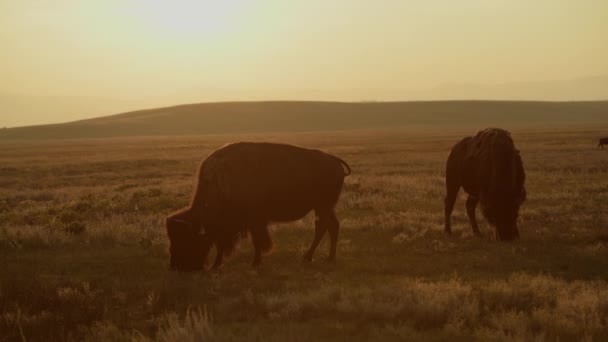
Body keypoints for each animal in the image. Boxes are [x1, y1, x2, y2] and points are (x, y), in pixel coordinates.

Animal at [165, 141, 352, 270]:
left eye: (187, 238)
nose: (176, 266)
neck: (220, 182)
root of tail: (334, 161)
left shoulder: (253, 221)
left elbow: (255, 241)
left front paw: (255, 262)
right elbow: (223, 243)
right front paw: (216, 265)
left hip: (322, 207)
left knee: (322, 227)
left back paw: (308, 257)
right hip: (325, 207)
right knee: (332, 226)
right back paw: (329, 258)